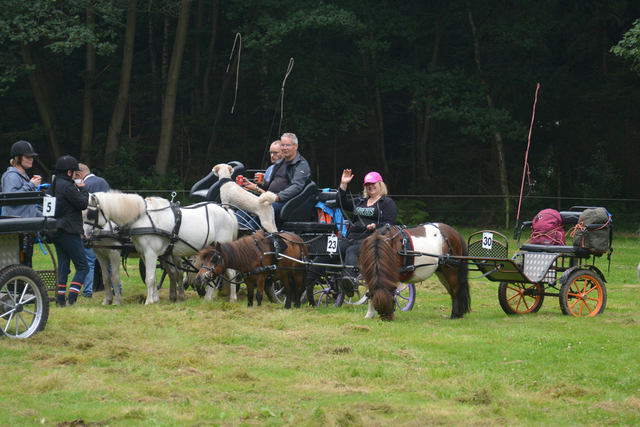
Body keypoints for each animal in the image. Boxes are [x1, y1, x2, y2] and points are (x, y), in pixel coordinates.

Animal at [82, 192, 238, 306]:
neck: (142, 219)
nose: (84, 235)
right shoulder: (141, 253)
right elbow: (150, 277)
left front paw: (147, 301)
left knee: (229, 271)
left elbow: (147, 278)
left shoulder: (136, 252)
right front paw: (155, 299)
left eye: (90, 213)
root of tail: (225, 210)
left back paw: (232, 298)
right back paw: (207, 298)